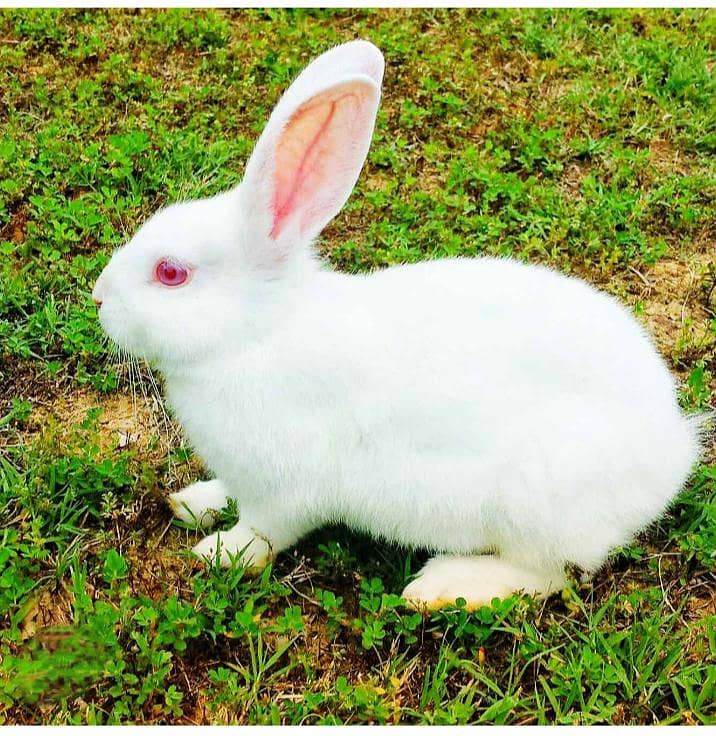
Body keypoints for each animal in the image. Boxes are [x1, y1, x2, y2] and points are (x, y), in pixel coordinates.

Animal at [92, 39, 705, 610]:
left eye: (171, 273)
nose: (98, 297)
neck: (256, 333)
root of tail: (672, 449)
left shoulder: (284, 493)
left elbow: (264, 533)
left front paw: (217, 552)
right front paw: (194, 502)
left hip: (538, 500)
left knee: (549, 574)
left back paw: (444, 585)